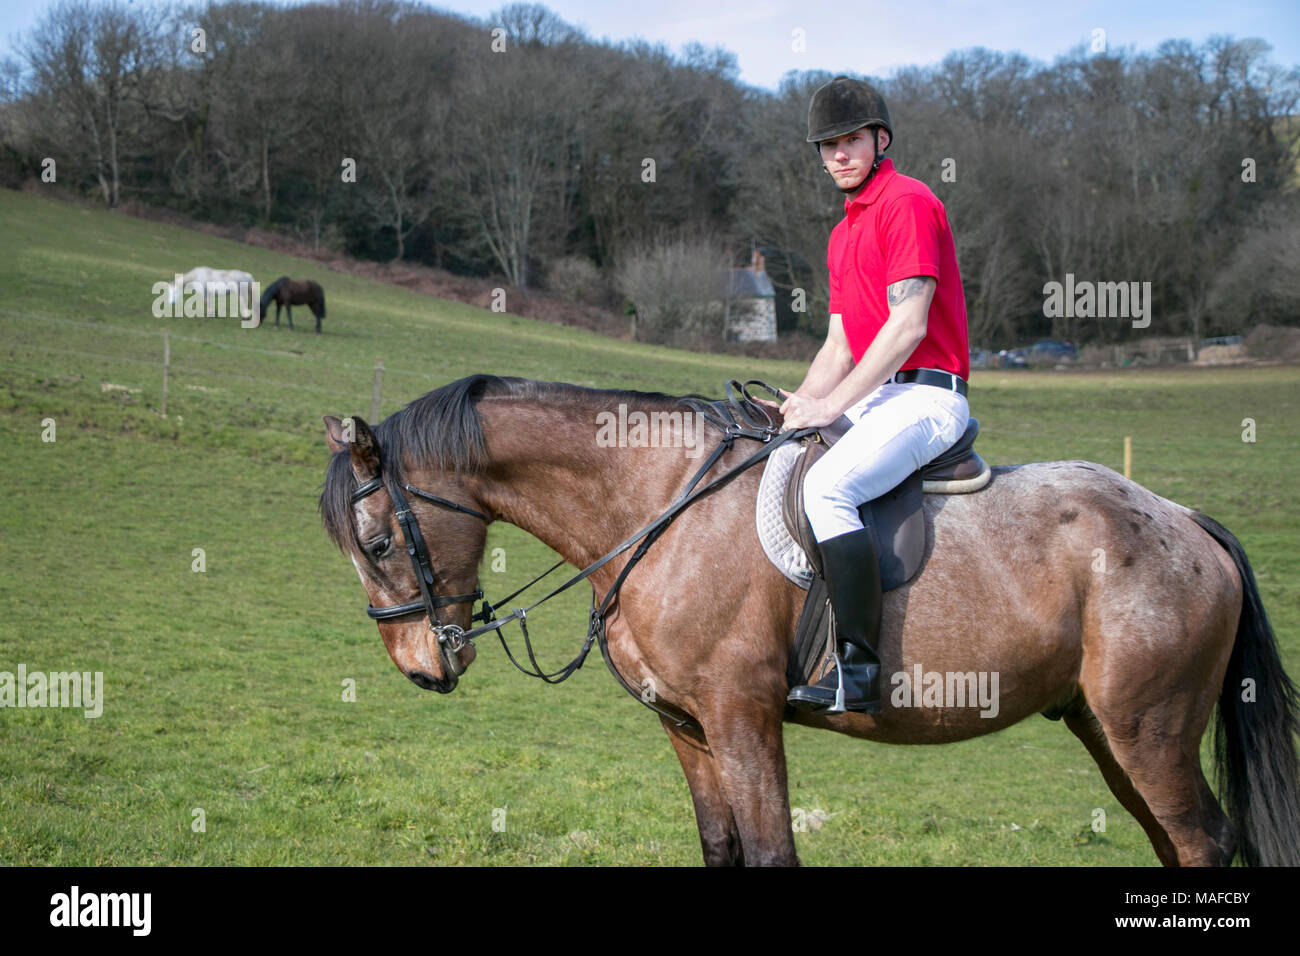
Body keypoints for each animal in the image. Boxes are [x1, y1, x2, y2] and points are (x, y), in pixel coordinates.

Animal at [318, 374, 1300, 867]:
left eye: (376, 541)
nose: (422, 667)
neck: (656, 501)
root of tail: (1183, 520)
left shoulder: (743, 720)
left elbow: (772, 854)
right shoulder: (688, 728)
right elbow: (723, 852)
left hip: (1149, 733)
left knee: (1202, 842)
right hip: (1107, 730)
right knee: (1176, 842)